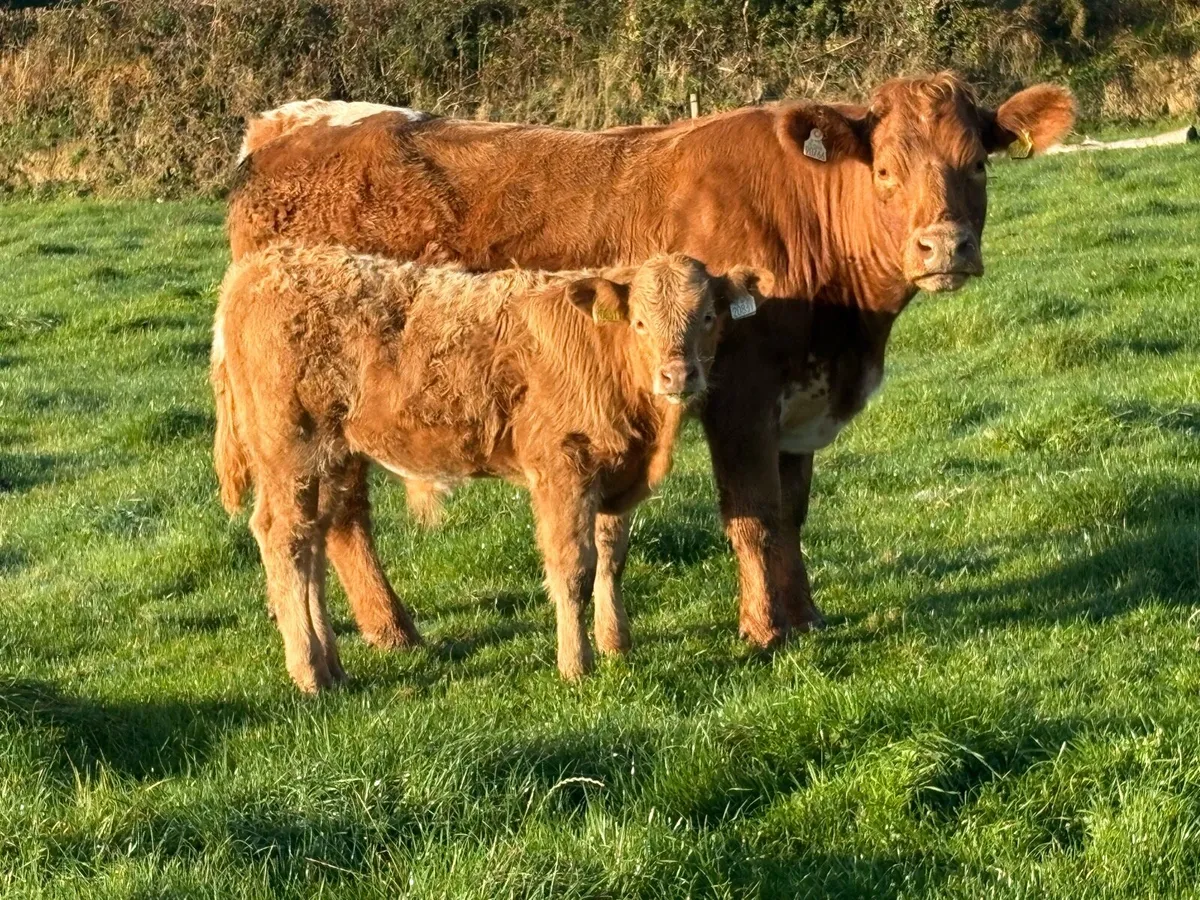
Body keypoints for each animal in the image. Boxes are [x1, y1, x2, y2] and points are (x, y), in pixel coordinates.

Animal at [211, 244, 770, 691]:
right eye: (640, 322)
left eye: (708, 317)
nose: (678, 375)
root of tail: (262, 265)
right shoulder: (562, 469)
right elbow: (574, 567)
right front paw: (576, 666)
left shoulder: (614, 475)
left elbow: (612, 558)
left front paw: (617, 644)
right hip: (290, 451)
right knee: (282, 537)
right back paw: (308, 672)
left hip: (331, 456)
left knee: (312, 542)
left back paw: (332, 666)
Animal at [227, 73, 1075, 651]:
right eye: (888, 170)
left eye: (979, 166)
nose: (944, 247)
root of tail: (290, 122)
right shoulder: (740, 393)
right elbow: (753, 513)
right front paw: (765, 630)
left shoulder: (798, 402)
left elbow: (792, 511)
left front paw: (805, 615)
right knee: (340, 514)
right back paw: (393, 631)